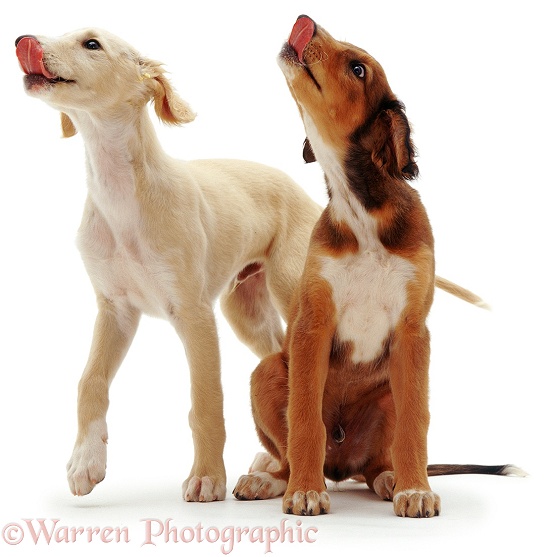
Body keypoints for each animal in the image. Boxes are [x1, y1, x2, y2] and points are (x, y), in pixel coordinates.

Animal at [16, 28, 324, 502]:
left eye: (91, 44)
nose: (21, 41)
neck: (122, 197)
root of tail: (305, 194)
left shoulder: (194, 315)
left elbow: (206, 401)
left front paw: (207, 476)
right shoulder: (115, 310)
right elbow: (90, 382)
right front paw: (86, 461)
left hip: (291, 292)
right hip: (245, 311)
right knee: (277, 360)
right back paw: (272, 467)